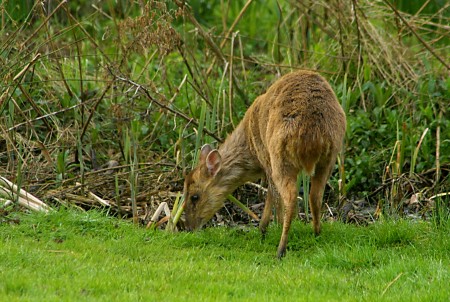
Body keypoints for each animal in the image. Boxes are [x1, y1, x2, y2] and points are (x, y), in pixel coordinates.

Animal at [181, 70, 346, 258]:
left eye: (194, 196)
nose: (189, 227)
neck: (250, 150)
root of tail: (312, 131)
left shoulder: (267, 161)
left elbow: (272, 195)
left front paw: (263, 229)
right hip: (330, 157)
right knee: (315, 196)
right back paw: (316, 234)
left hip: (280, 158)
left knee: (291, 198)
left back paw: (281, 249)